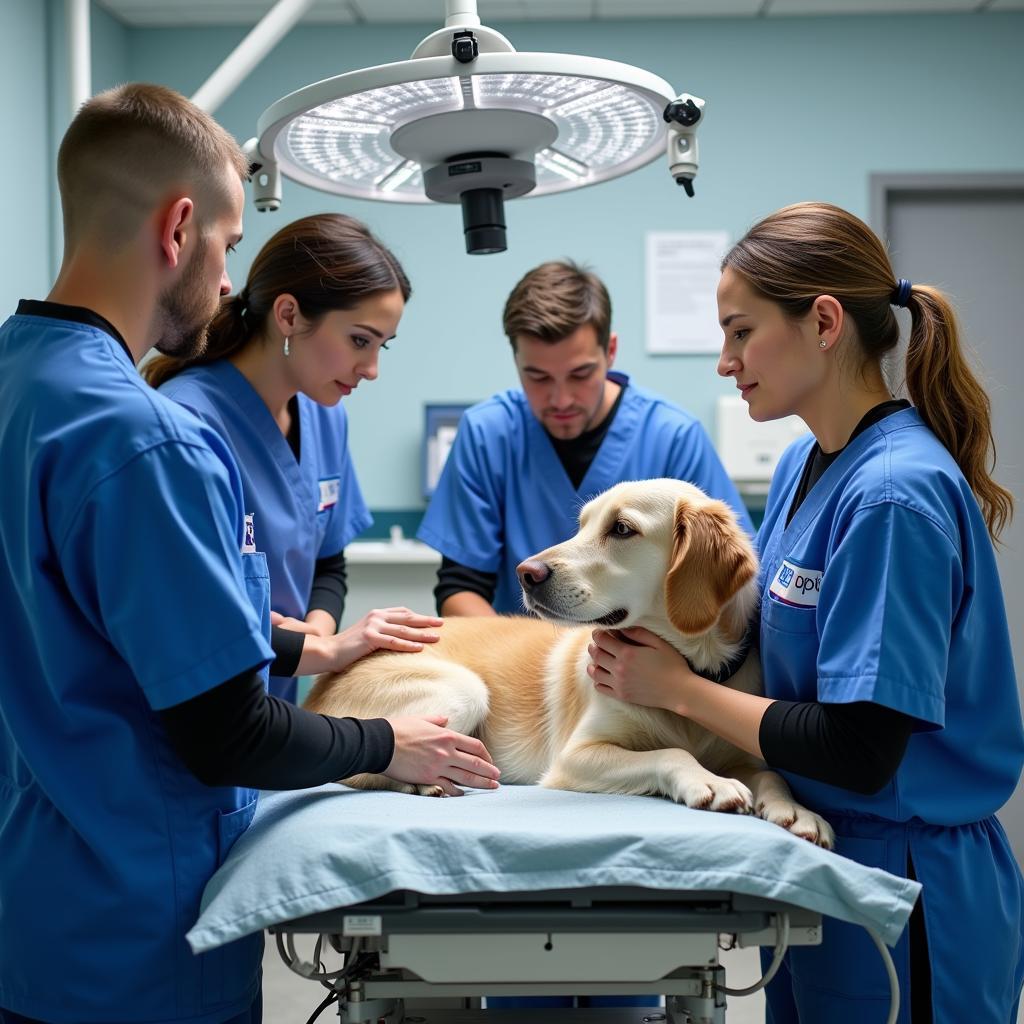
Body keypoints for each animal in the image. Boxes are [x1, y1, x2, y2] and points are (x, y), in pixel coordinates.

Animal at [303, 479, 831, 847]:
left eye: (622, 529)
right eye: (582, 526)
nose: (526, 572)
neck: (687, 670)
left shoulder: (745, 753)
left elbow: (771, 773)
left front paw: (797, 811)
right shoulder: (574, 758)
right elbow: (671, 753)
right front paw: (708, 781)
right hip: (464, 690)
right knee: (359, 766)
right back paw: (425, 781)